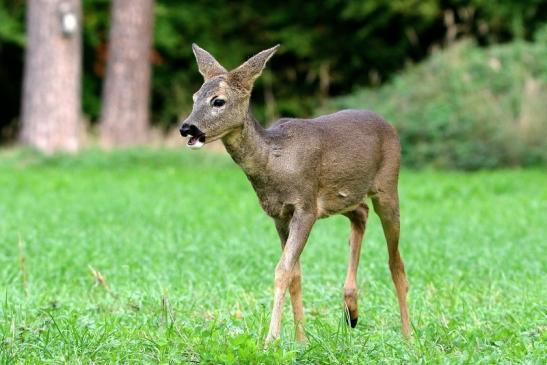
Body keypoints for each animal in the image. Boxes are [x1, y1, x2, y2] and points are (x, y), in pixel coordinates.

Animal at [180, 44, 412, 342]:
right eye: (195, 97)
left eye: (218, 101)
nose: (187, 127)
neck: (275, 161)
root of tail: (389, 125)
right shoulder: (279, 215)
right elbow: (295, 275)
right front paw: (301, 340)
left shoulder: (306, 207)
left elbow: (282, 270)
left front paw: (271, 339)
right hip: (343, 196)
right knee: (361, 213)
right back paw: (351, 309)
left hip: (388, 185)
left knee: (396, 262)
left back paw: (408, 335)